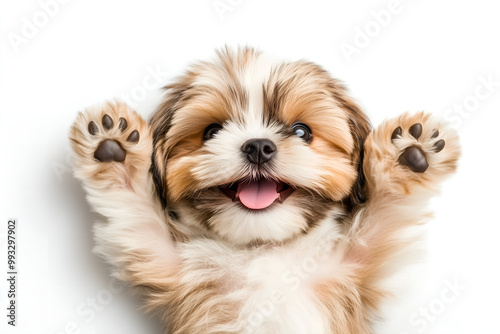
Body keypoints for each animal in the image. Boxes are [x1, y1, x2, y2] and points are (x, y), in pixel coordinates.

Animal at [69, 47, 460, 334]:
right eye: (211, 131)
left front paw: (407, 159)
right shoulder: (176, 266)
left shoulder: (349, 268)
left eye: (302, 132)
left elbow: (382, 220)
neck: (262, 251)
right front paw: (116, 153)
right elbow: (138, 217)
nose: (258, 146)